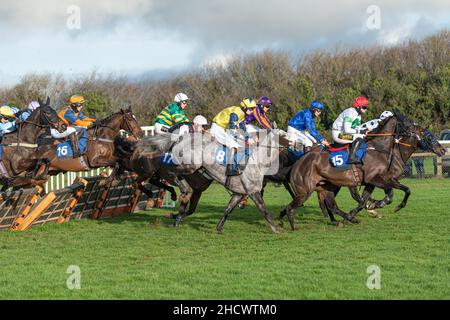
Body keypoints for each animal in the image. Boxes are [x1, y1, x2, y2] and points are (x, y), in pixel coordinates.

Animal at [282, 110, 446, 230]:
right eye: (408, 125)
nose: (443, 149)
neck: (380, 149)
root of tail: (299, 161)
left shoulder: (373, 182)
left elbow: (401, 191)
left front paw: (370, 209)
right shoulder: (377, 179)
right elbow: (389, 194)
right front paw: (377, 205)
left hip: (328, 185)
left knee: (331, 205)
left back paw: (344, 219)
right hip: (306, 190)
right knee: (296, 205)